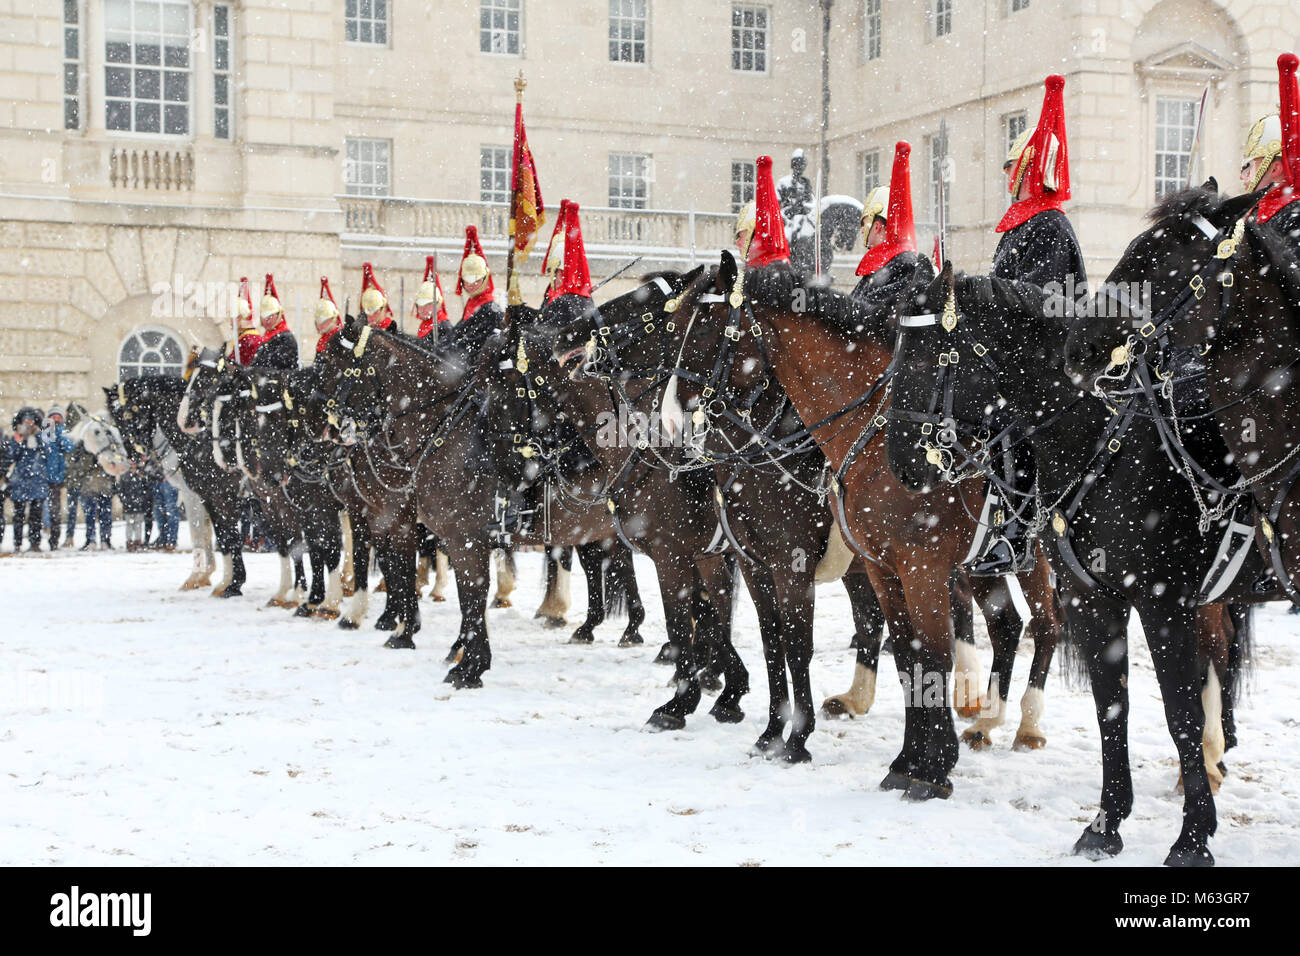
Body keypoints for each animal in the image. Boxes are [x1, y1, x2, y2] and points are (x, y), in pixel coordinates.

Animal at [889, 256, 1263, 868]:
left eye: (922, 357)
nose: (899, 462)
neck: (1109, 439)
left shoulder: (1163, 604)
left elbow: (1178, 713)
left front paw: (1192, 839)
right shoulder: (1094, 599)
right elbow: (1112, 706)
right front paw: (1106, 825)